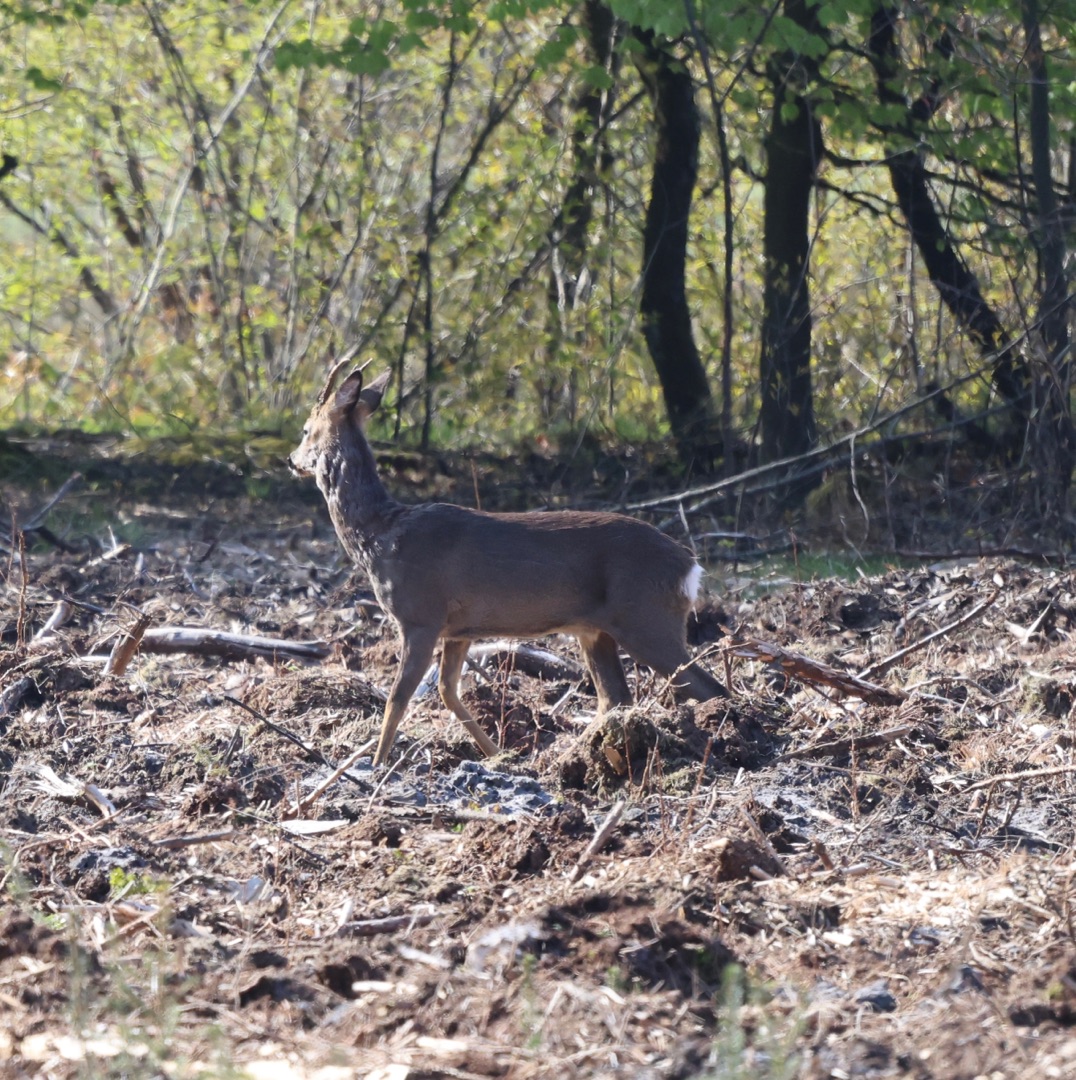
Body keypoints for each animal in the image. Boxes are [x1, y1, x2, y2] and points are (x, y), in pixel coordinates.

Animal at [288, 362, 728, 766]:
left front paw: (376, 765)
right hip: (597, 630)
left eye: (307, 429)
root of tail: (690, 567)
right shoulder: (458, 628)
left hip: (645, 616)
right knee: (616, 697)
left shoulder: (420, 616)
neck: (382, 535)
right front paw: (498, 754)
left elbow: (398, 696)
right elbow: (448, 690)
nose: (292, 459)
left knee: (709, 687)